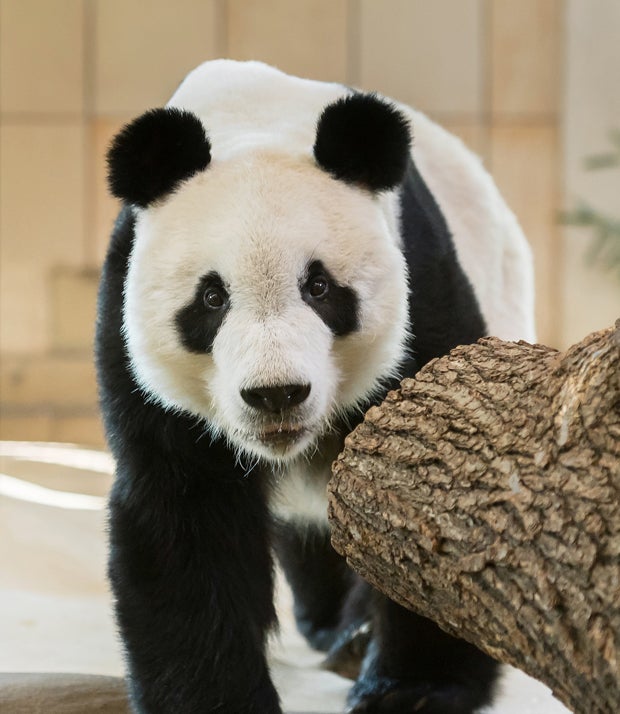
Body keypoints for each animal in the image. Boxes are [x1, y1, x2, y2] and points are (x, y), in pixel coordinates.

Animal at [96, 60, 535, 714]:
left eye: (320, 287)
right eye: (212, 297)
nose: (276, 394)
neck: (254, 115)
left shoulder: (424, 294)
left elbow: (430, 492)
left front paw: (413, 690)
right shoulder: (133, 343)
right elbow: (182, 518)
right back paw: (335, 627)